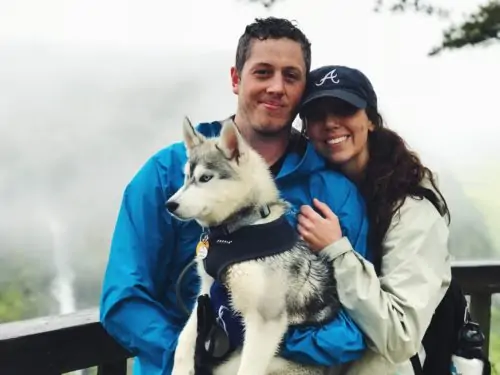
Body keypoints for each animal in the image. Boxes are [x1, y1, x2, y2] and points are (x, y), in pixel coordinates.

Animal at [166, 118, 342, 375]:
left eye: (205, 178)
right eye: (186, 177)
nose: (169, 204)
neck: (236, 230)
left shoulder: (265, 320)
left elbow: (248, 368)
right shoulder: (205, 292)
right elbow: (185, 338)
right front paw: (181, 367)